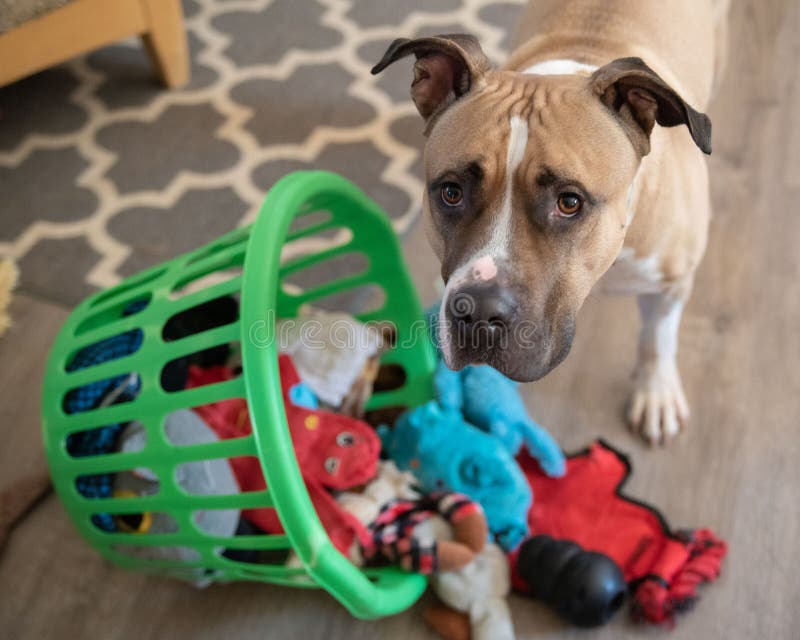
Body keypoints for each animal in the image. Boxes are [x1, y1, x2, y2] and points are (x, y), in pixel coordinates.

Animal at [372, 0, 728, 444]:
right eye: (451, 192)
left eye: (569, 202)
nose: (478, 313)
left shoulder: (671, 284)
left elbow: (657, 338)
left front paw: (656, 393)